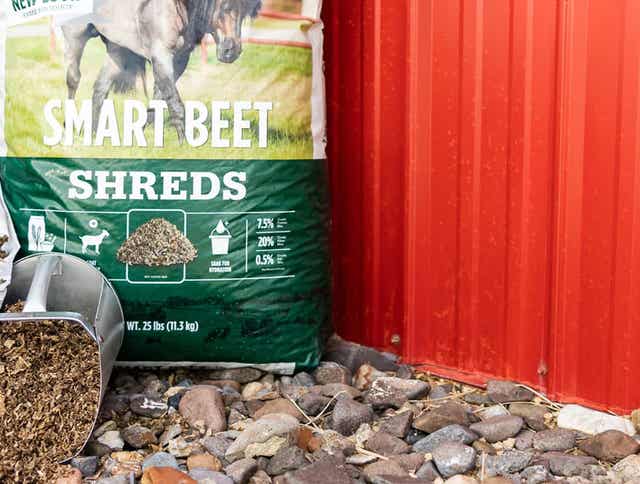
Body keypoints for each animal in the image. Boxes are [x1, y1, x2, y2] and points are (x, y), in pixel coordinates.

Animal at [61, 0, 262, 141]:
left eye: (246, 13)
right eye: (225, 7)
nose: (231, 51)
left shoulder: (180, 59)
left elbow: (160, 97)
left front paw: (142, 136)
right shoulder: (161, 55)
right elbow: (175, 102)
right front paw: (184, 145)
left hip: (117, 49)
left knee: (100, 89)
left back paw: (95, 134)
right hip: (75, 35)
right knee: (73, 80)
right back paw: (69, 128)